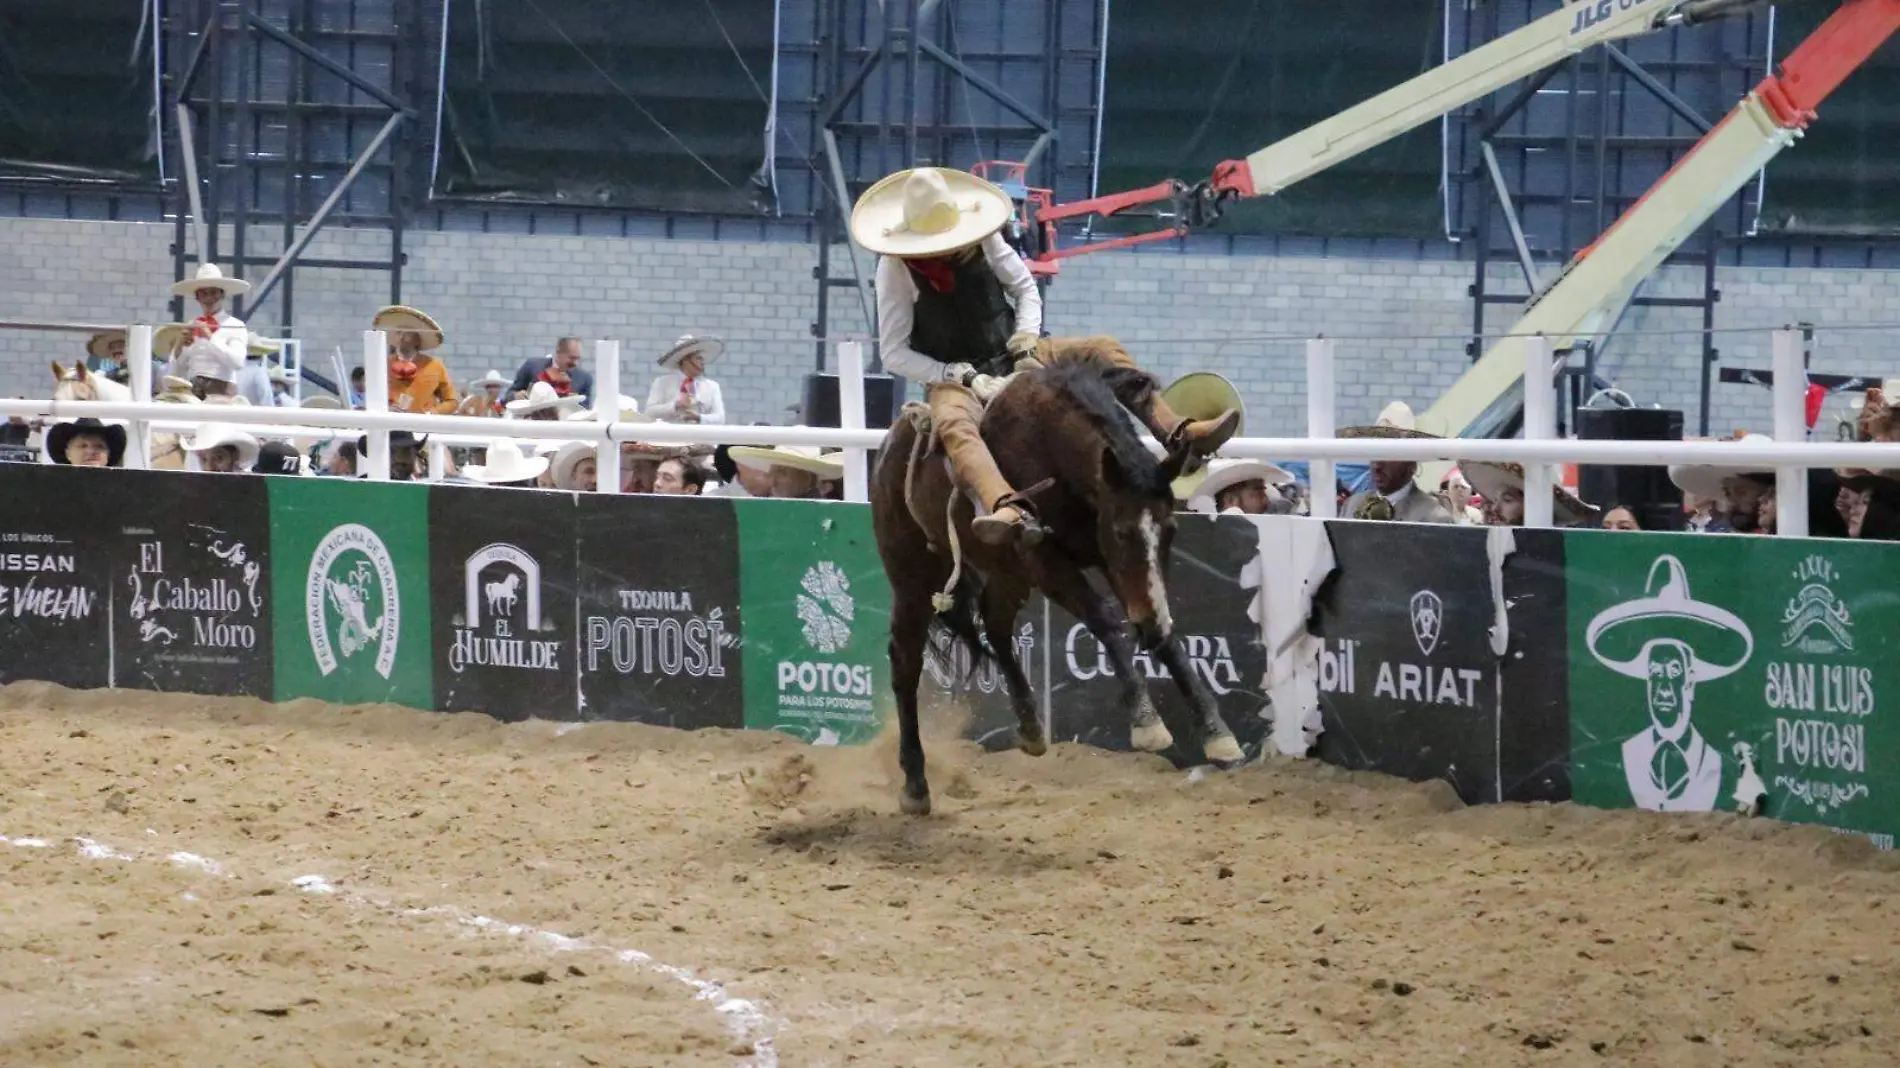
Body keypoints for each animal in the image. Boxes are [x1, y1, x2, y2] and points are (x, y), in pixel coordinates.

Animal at [874, 342, 1246, 813]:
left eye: (1171, 530)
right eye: (1122, 532)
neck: (1052, 452)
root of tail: (888, 450)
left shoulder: (1110, 565)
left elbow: (1163, 630)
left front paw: (1218, 734)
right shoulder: (1049, 562)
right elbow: (1105, 618)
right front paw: (1147, 724)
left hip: (1006, 571)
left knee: (996, 626)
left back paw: (1032, 728)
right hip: (913, 577)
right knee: (905, 663)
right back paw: (915, 785)